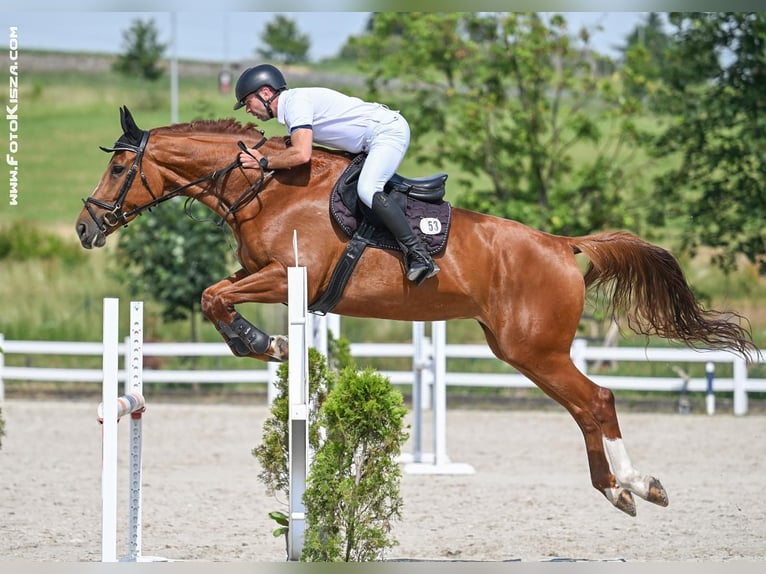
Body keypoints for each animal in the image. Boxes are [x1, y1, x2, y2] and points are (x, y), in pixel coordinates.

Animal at [79, 107, 756, 516]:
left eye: (119, 165)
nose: (86, 228)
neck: (265, 188)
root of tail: (563, 245)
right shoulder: (260, 275)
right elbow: (215, 292)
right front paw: (261, 344)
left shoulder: (289, 277)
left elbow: (213, 296)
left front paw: (262, 344)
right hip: (522, 351)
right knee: (584, 407)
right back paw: (617, 490)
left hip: (533, 348)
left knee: (598, 401)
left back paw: (635, 484)